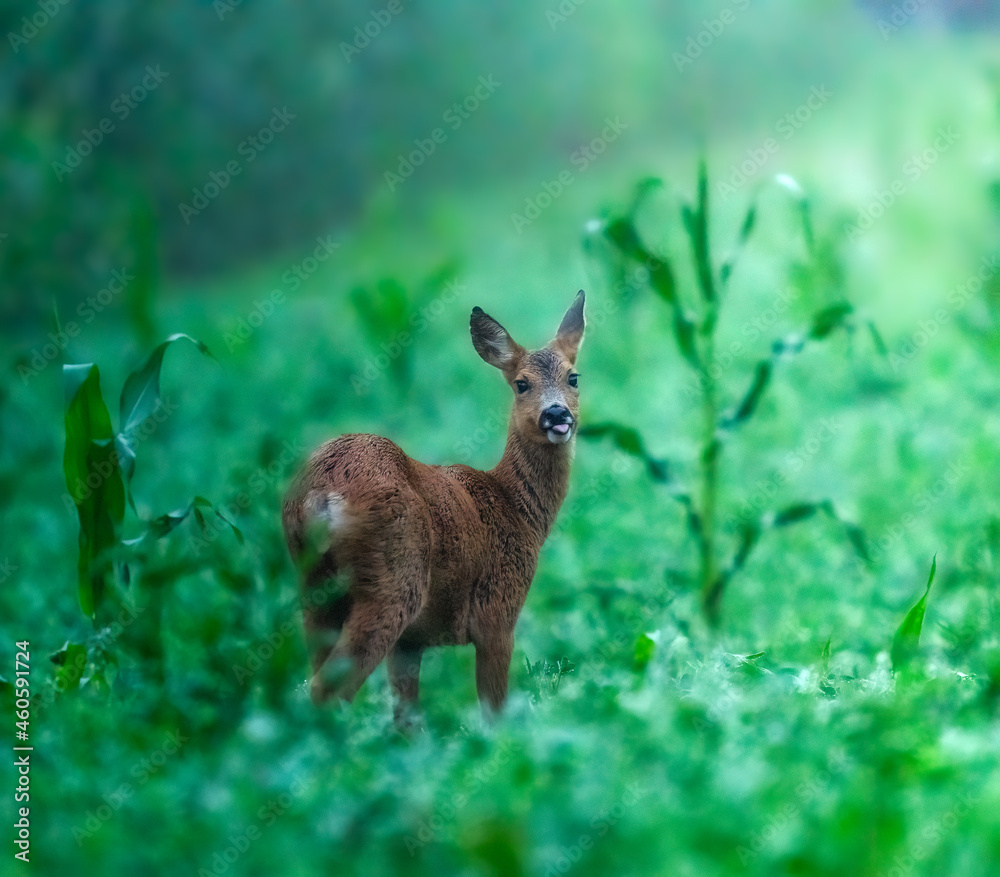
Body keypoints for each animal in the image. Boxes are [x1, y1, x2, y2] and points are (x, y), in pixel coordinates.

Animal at [282, 290, 585, 719]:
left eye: (573, 377)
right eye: (521, 384)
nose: (556, 413)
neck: (515, 507)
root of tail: (319, 496)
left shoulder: (411, 643)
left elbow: (408, 717)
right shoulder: (498, 613)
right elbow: (493, 710)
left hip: (313, 587)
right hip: (393, 581)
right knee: (327, 689)